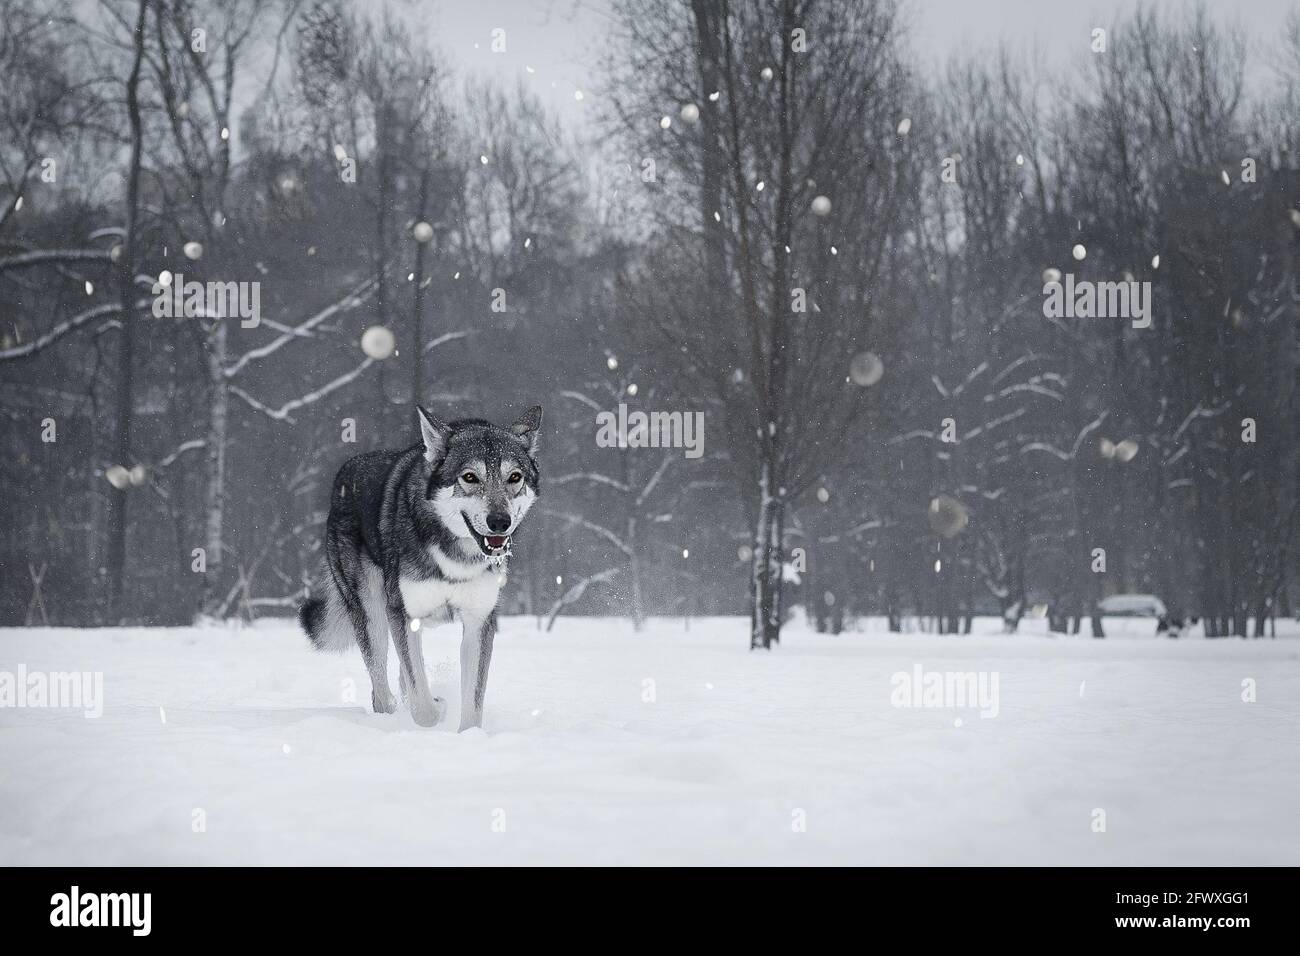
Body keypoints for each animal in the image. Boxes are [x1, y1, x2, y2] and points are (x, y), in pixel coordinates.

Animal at [300, 400, 543, 728]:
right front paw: (433, 714)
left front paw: (468, 734)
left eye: (514, 477)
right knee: (382, 691)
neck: (454, 552)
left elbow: (472, 705)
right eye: (470, 477)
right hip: (372, 614)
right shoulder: (403, 615)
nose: (500, 522)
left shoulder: (479, 621)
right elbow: (422, 706)